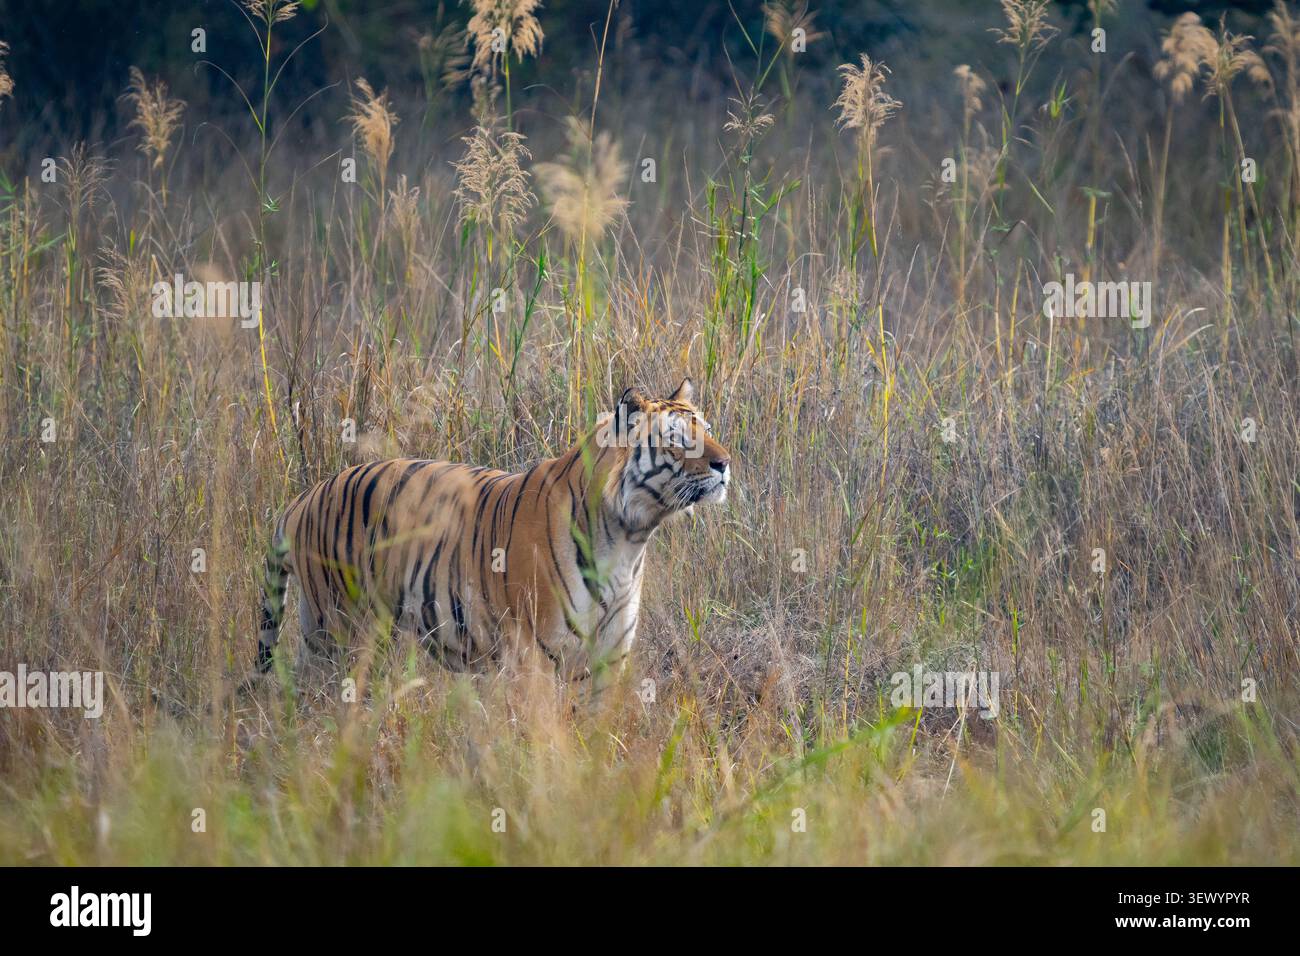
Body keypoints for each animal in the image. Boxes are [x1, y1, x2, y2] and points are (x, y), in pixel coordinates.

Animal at [255, 379, 732, 692]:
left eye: (707, 430)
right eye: (677, 439)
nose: (725, 463)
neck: (629, 538)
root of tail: (303, 498)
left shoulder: (609, 655)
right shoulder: (534, 655)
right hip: (340, 631)